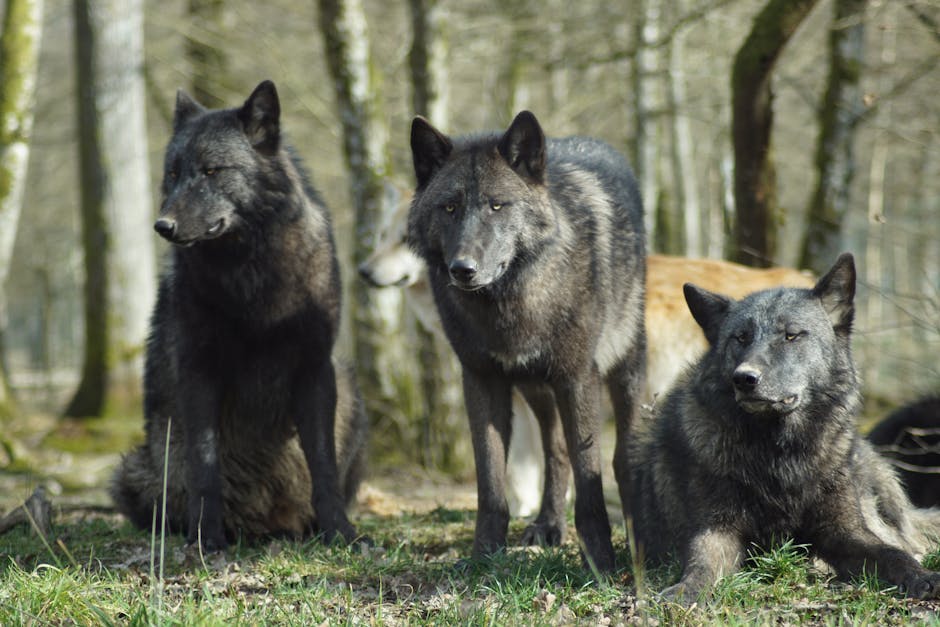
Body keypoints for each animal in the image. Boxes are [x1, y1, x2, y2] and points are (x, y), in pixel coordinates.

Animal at [110, 80, 367, 551]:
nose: (162, 226)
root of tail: (263, 524)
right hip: (134, 470)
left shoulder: (315, 369)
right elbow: (205, 465)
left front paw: (341, 532)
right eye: (172, 173)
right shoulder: (198, 371)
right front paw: (206, 538)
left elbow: (323, 467)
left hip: (350, 389)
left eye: (212, 171)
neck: (251, 273)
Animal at [407, 111, 646, 571]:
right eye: (450, 207)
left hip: (624, 369)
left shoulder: (577, 378)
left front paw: (600, 561)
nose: (462, 268)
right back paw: (548, 524)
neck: (509, 304)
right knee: (555, 450)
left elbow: (590, 476)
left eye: (497, 205)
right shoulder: (481, 380)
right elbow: (490, 481)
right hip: (536, 388)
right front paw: (483, 556)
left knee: (621, 454)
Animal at [628, 253, 940, 602]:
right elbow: (701, 562)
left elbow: (892, 554)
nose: (744, 378)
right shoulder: (717, 530)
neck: (779, 454)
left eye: (791, 335)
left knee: (905, 539)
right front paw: (684, 591)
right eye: (740, 337)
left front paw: (922, 576)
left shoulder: (845, 531)